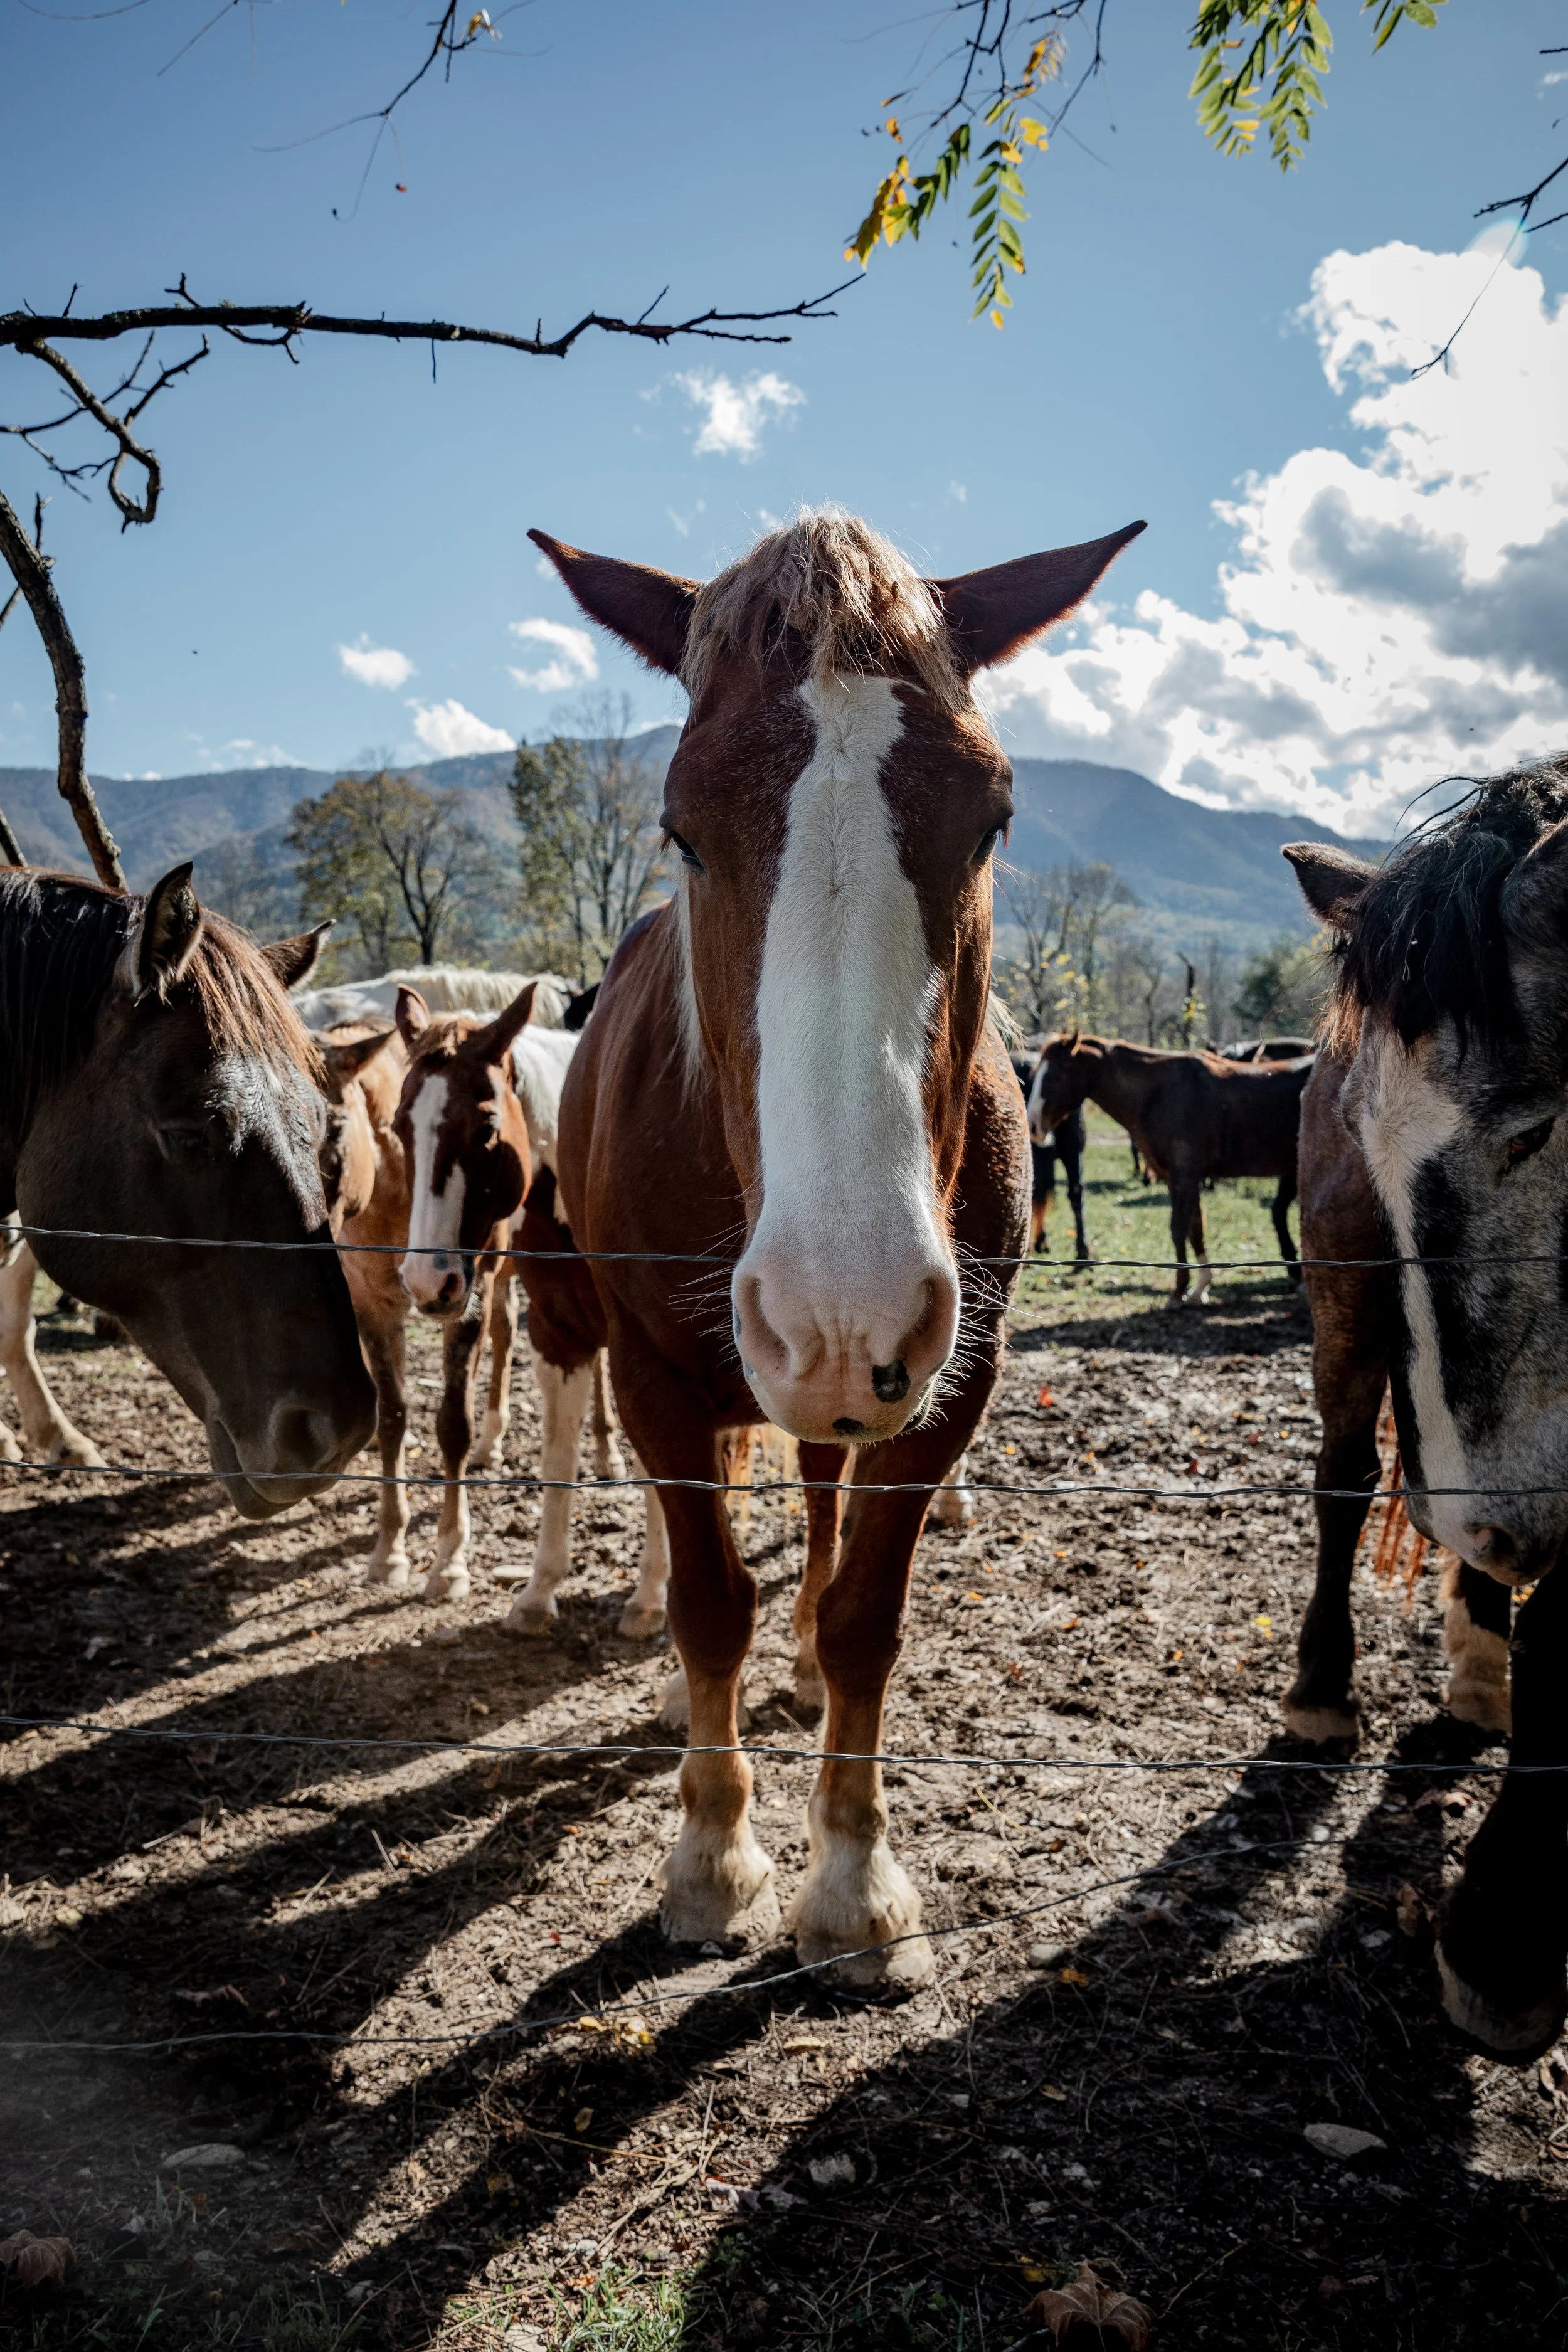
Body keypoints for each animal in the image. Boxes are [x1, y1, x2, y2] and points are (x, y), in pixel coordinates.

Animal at [1027, 1033, 1310, 1302]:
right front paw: (1200, 1287)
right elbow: (1196, 1229)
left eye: (1058, 1073)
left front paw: (1178, 1291)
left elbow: (1178, 1229)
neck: (1159, 1093)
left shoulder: (1184, 1176)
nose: (1033, 1126)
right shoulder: (1181, 1178)